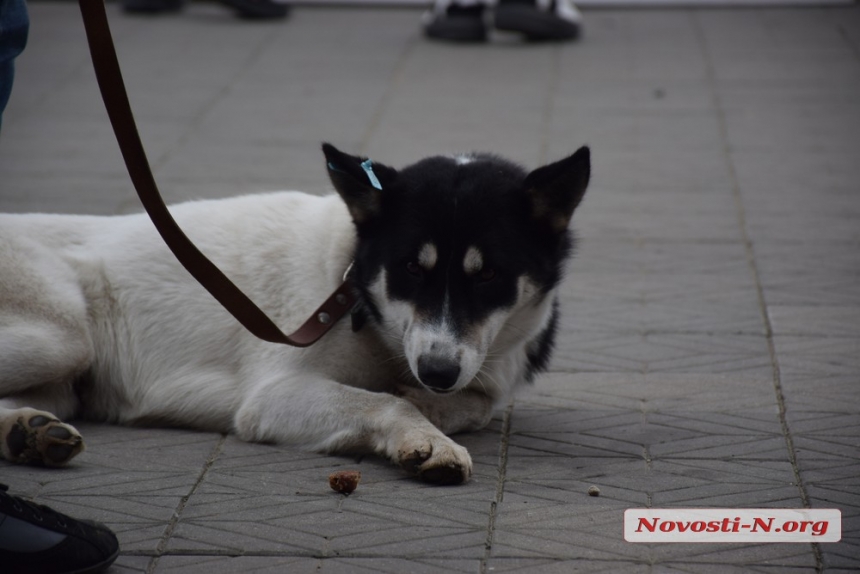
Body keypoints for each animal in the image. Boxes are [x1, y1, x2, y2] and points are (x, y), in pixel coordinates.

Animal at [0, 144, 588, 486]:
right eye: (410, 270)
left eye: (488, 276)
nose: (437, 372)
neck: (354, 294)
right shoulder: (274, 396)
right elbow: (386, 403)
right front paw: (423, 434)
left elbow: (475, 403)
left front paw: (428, 404)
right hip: (61, 338)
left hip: (65, 381)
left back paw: (27, 432)